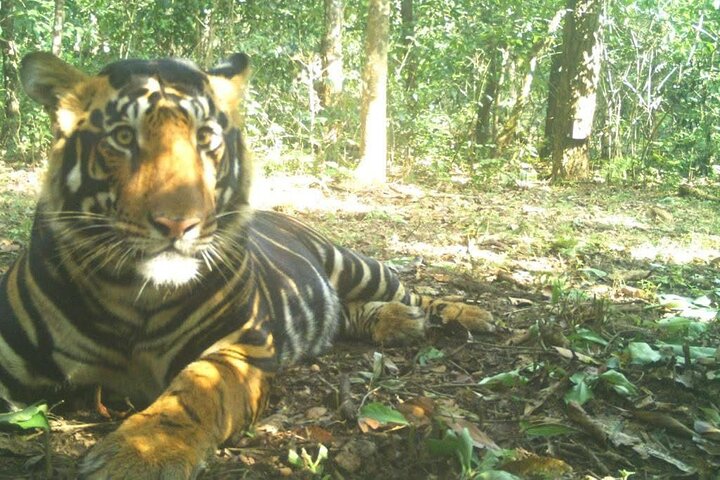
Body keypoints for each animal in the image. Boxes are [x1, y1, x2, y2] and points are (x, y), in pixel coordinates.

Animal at [0, 51, 495, 479]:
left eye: (205, 139)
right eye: (123, 137)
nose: (178, 223)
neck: (132, 296)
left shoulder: (238, 346)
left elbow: (194, 392)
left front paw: (140, 456)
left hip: (352, 264)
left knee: (412, 290)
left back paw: (469, 314)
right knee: (353, 312)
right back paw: (399, 323)